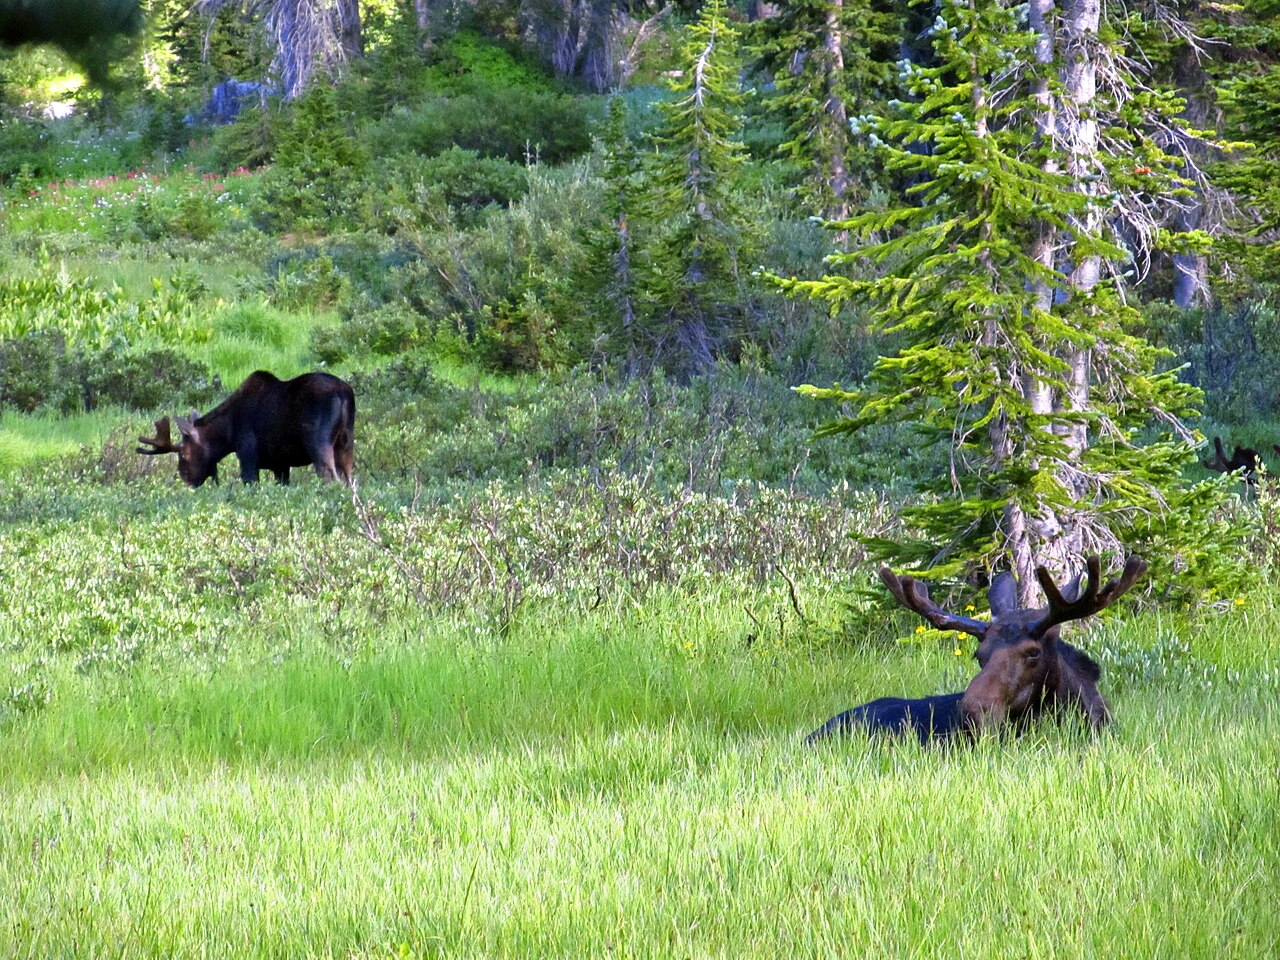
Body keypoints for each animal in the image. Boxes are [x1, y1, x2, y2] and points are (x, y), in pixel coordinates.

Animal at [137, 371, 355, 487]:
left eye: (183, 455)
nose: (185, 478)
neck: (227, 435)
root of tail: (343, 393)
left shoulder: (248, 457)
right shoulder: (280, 465)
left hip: (318, 444)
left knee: (331, 478)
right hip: (346, 444)